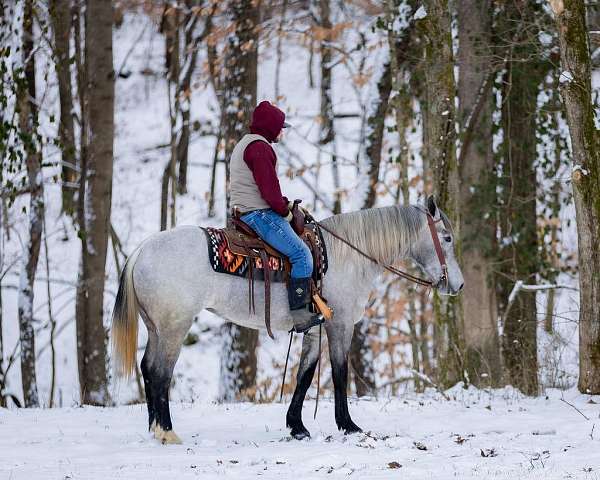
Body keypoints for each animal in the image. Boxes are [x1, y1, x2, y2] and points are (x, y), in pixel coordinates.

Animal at [111, 197, 464, 444]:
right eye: (446, 238)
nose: (458, 285)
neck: (348, 256)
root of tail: (143, 249)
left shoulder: (315, 327)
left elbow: (305, 374)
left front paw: (297, 427)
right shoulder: (340, 324)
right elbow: (339, 373)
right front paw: (349, 426)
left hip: (156, 327)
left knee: (148, 368)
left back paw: (154, 429)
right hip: (175, 326)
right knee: (161, 373)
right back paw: (167, 432)